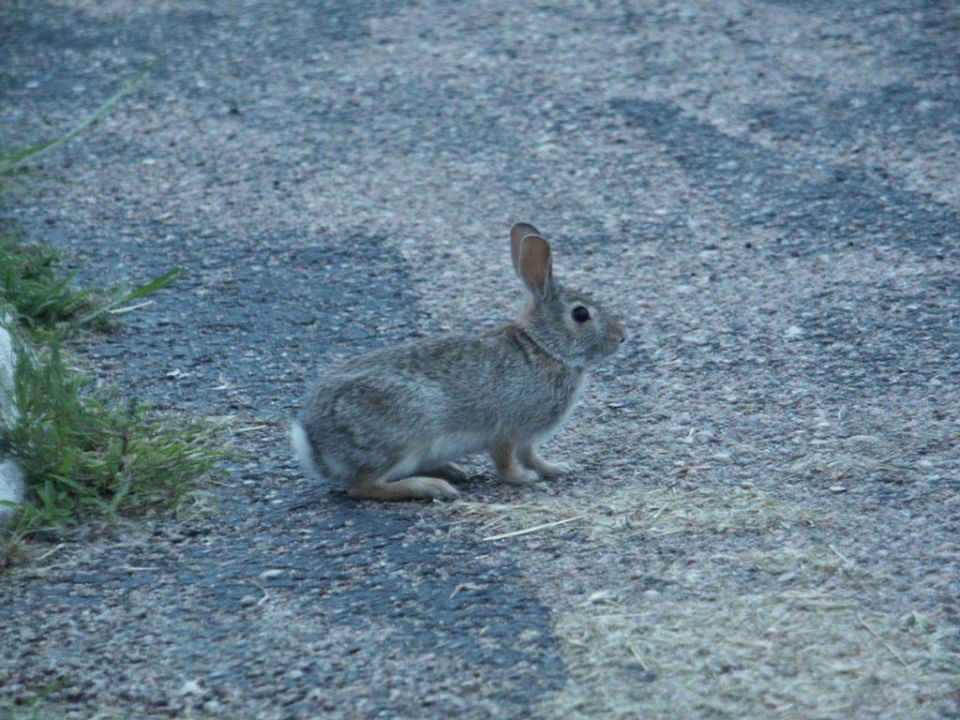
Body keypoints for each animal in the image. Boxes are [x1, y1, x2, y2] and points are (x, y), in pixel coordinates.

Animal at [291, 223, 626, 501]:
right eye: (581, 314)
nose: (622, 337)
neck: (544, 347)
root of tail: (314, 442)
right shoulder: (508, 428)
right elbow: (506, 460)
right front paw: (522, 479)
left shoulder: (528, 437)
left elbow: (532, 455)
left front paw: (557, 468)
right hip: (405, 435)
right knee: (362, 486)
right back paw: (432, 487)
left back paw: (452, 471)